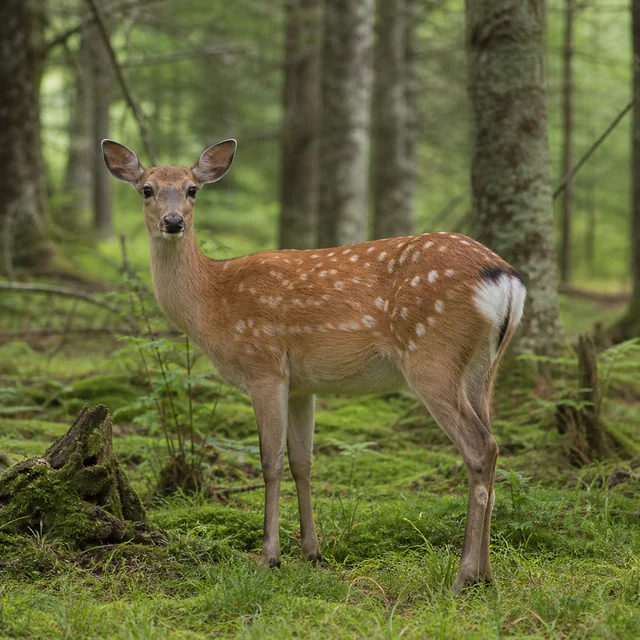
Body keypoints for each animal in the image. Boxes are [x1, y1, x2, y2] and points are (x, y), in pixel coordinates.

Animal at [101, 138, 526, 594]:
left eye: (191, 188)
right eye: (147, 189)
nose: (173, 221)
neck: (213, 302)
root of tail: (505, 278)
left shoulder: (263, 364)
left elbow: (270, 462)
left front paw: (268, 557)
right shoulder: (303, 385)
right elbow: (302, 462)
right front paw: (311, 552)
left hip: (432, 356)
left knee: (479, 446)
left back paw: (464, 575)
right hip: (483, 368)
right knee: (493, 446)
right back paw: (487, 573)